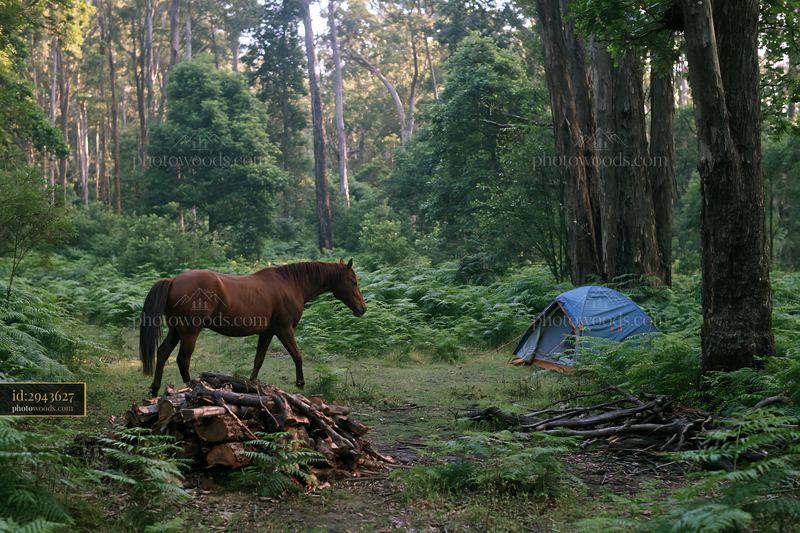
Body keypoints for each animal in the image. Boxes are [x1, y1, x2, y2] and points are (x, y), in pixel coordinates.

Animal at [138, 259, 367, 397]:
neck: (290, 284)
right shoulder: (284, 330)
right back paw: (193, 387)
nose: (362, 309)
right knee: (182, 360)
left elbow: (259, 360)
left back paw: (155, 389)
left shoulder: (267, 334)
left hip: (176, 331)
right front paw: (300, 383)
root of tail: (173, 280)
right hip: (189, 333)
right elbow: (297, 355)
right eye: (353, 281)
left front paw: (251, 385)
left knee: (162, 353)